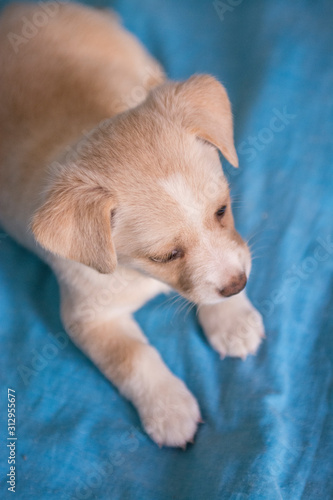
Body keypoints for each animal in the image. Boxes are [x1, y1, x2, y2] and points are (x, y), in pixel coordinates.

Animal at [0, 1, 264, 448]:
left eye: (221, 211)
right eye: (166, 255)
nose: (238, 286)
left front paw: (232, 319)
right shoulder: (91, 318)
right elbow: (135, 358)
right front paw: (169, 409)